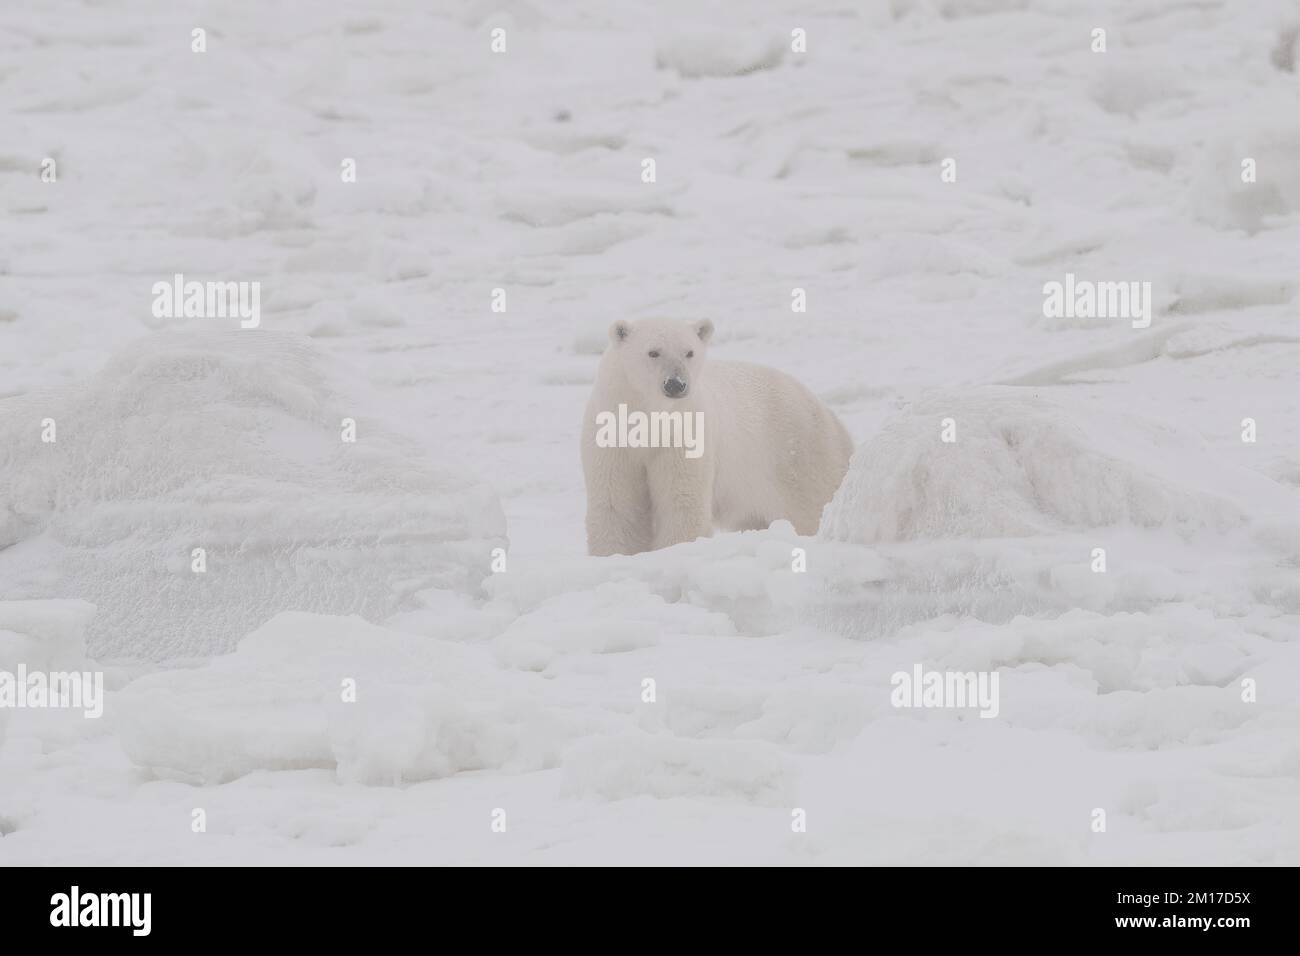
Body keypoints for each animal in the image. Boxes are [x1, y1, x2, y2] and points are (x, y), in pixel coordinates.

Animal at [582, 317, 852, 556]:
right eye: (653, 352)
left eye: (689, 352)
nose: (675, 384)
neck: (650, 418)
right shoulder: (612, 434)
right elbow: (617, 505)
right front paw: (614, 556)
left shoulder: (684, 434)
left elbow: (681, 501)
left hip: (801, 455)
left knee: (811, 507)